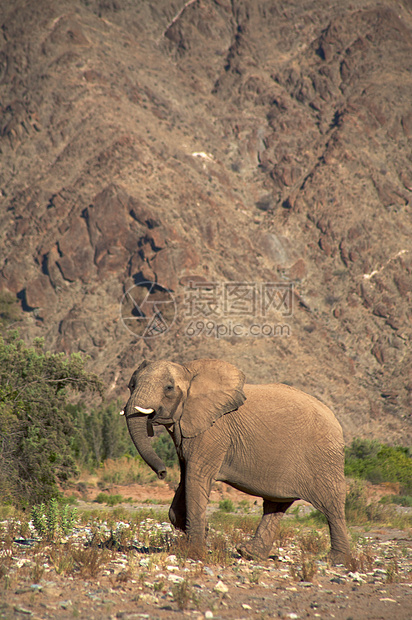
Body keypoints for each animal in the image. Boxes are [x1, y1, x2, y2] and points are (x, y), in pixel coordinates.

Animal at [121, 356, 350, 564]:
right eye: (131, 385)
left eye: (169, 388)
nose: (162, 473)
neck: (188, 370)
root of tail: (336, 421)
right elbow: (185, 481)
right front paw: (204, 530)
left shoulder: (213, 431)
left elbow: (196, 477)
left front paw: (194, 553)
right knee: (276, 503)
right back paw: (250, 553)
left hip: (323, 458)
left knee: (331, 505)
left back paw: (336, 560)